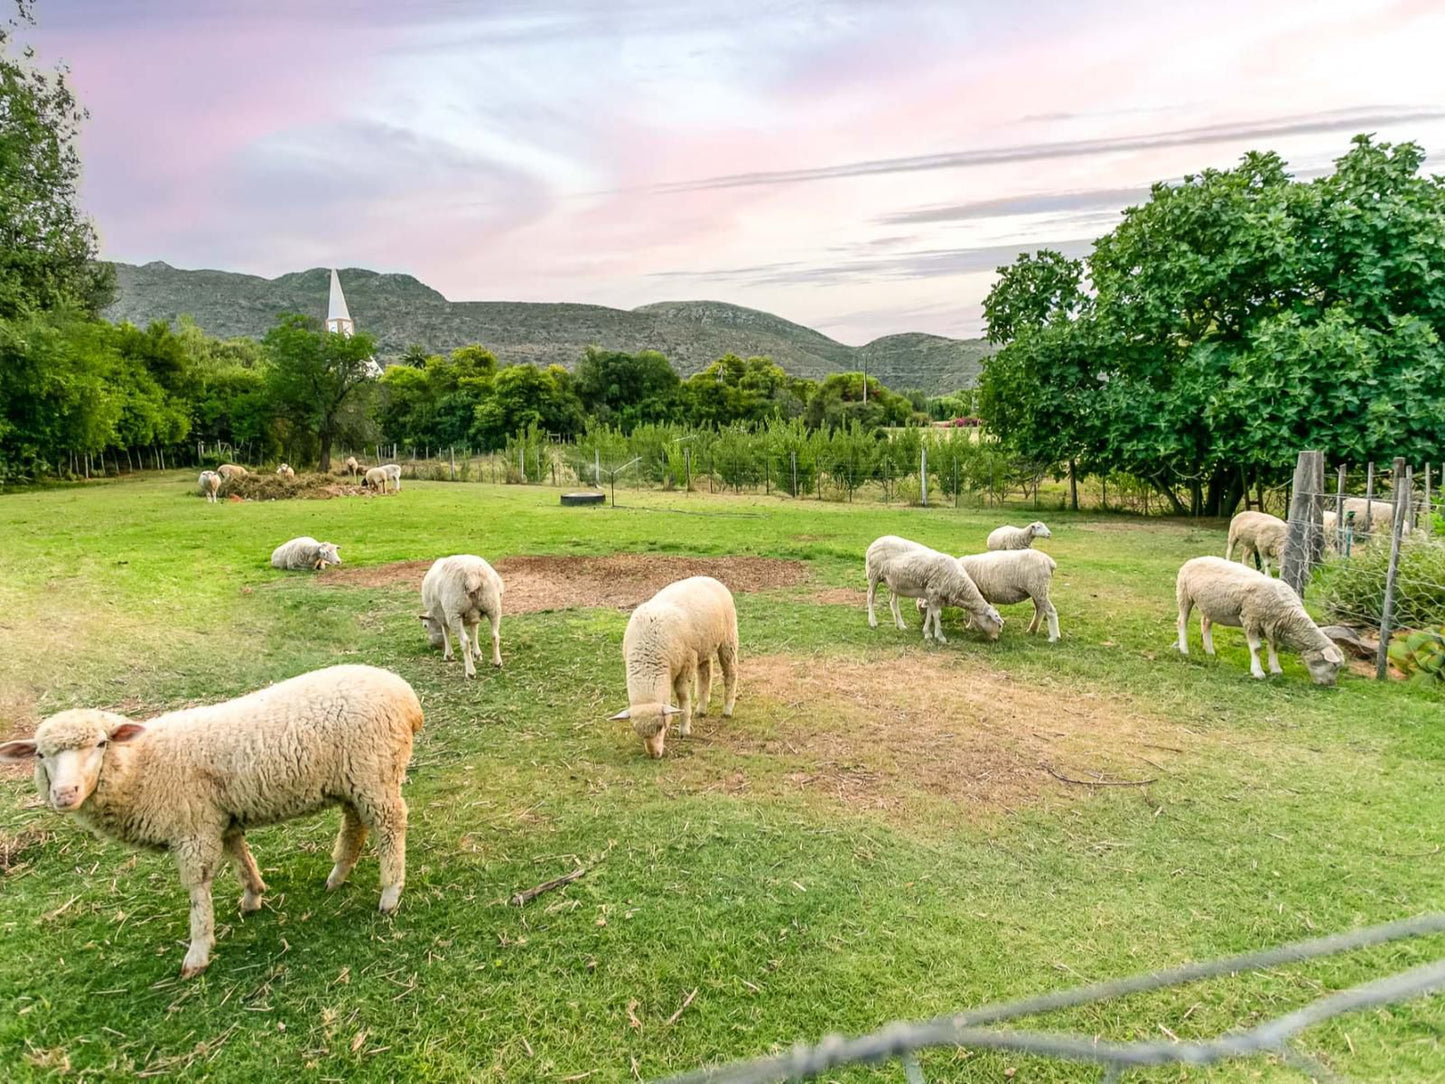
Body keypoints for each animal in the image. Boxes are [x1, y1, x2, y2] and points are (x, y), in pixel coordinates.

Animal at [0, 667, 424, 982]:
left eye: (102, 744)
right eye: (40, 755)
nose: (65, 793)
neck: (142, 765)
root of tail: (406, 696)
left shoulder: (191, 828)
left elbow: (197, 888)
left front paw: (198, 952)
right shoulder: (220, 817)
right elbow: (238, 853)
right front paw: (253, 894)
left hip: (374, 771)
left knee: (390, 823)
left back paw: (391, 892)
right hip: (353, 780)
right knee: (356, 824)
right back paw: (338, 874)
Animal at [606, 578, 739, 763]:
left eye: (661, 726)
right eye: (637, 731)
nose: (654, 755)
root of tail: (709, 578)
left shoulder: (687, 661)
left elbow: (683, 696)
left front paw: (684, 730)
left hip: (728, 637)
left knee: (730, 673)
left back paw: (727, 710)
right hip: (703, 645)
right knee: (706, 672)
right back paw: (702, 708)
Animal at [861, 537, 999, 644]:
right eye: (999, 624)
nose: (995, 639)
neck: (959, 586)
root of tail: (875, 541)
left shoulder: (931, 595)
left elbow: (929, 613)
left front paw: (927, 633)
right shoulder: (934, 593)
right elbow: (937, 614)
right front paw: (940, 636)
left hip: (893, 583)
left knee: (893, 603)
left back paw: (900, 625)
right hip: (874, 574)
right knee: (870, 597)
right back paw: (872, 622)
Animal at [913, 552, 1063, 644]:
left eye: (922, 608)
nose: (922, 622)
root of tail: (1050, 562)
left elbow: (973, 612)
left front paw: (970, 626)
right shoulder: (983, 593)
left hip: (1038, 587)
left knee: (1050, 611)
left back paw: (1054, 637)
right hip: (1037, 590)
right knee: (1040, 609)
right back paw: (1032, 630)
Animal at [1173, 560, 1340, 687]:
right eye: (1334, 665)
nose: (1330, 685)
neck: (1289, 615)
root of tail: (1193, 560)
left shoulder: (1272, 626)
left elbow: (1274, 647)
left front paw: (1276, 669)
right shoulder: (1250, 620)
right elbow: (1257, 649)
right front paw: (1258, 672)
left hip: (1211, 606)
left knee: (1206, 623)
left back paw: (1209, 650)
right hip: (1184, 594)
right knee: (1182, 622)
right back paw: (1184, 649)